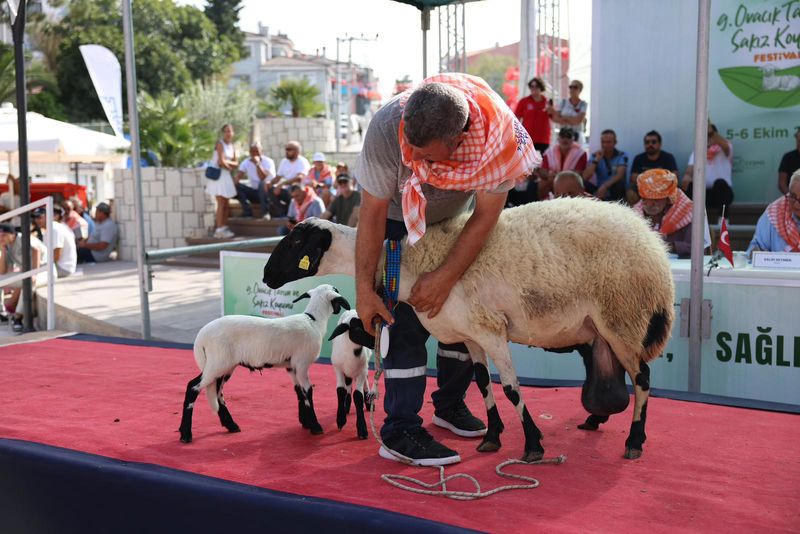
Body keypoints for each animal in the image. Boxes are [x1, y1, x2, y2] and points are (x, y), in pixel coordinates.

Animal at [181, 284, 350, 444]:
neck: (313, 320)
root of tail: (201, 336)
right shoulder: (302, 363)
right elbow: (308, 392)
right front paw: (315, 427)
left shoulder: (292, 367)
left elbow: (299, 392)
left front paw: (305, 423)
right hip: (217, 363)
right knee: (192, 387)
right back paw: (186, 434)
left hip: (225, 365)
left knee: (217, 392)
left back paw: (231, 425)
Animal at [326, 310, 374, 440]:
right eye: (357, 329)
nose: (376, 341)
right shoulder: (338, 368)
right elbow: (341, 390)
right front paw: (341, 420)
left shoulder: (362, 371)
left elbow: (358, 395)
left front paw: (362, 430)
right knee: (348, 383)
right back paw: (346, 406)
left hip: (364, 366)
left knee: (366, 380)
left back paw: (368, 402)